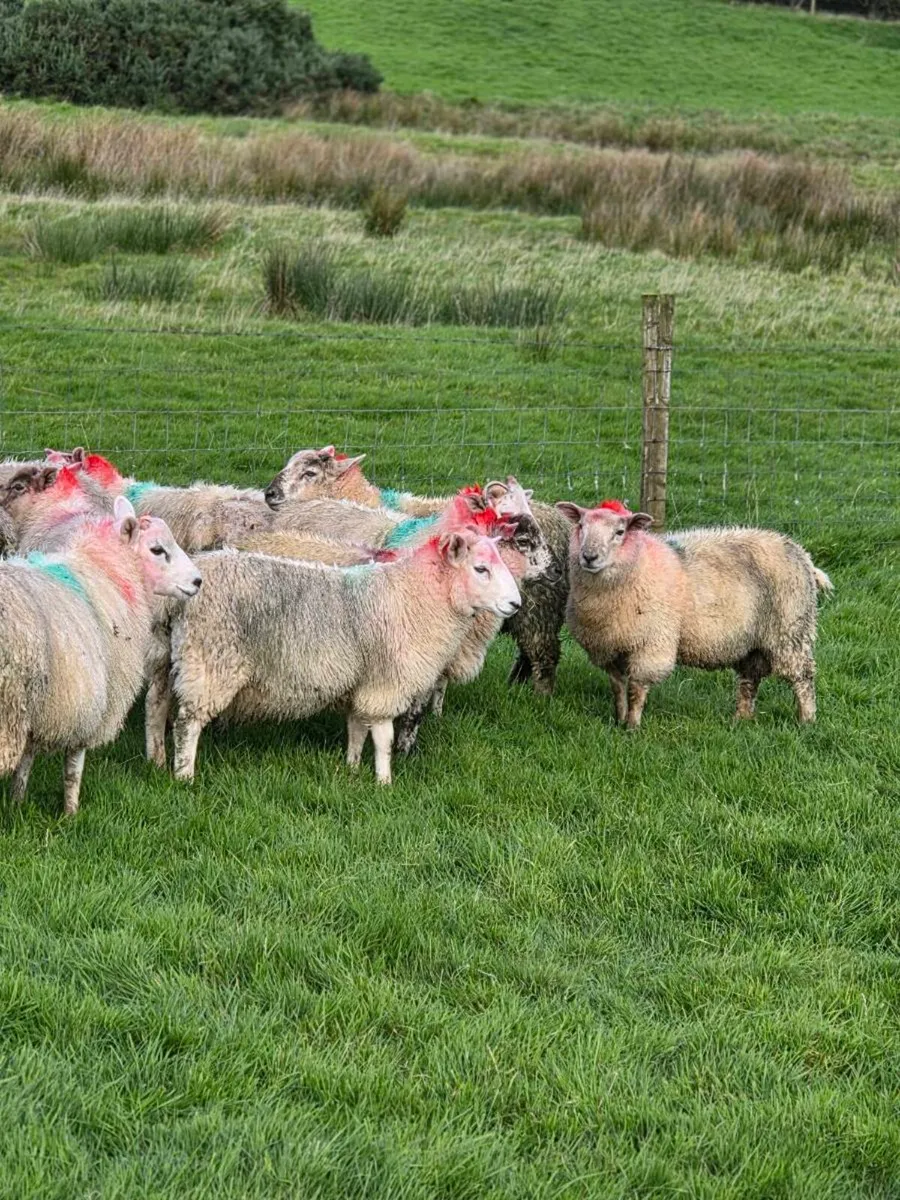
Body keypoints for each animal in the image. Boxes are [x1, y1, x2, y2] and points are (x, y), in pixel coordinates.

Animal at [0, 498, 201, 814]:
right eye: (157, 549)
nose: (197, 581)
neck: (107, 569)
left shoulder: (44, 702)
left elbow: (26, 758)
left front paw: (16, 802)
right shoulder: (87, 697)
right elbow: (73, 765)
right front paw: (70, 812)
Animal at [163, 530, 521, 786]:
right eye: (481, 568)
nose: (515, 604)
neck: (416, 596)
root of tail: (197, 575)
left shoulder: (361, 683)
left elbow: (357, 728)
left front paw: (351, 767)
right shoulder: (385, 683)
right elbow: (383, 738)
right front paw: (384, 781)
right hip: (211, 661)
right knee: (187, 724)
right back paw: (184, 777)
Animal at [266, 448, 571, 695]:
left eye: (309, 472)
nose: (269, 494)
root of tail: (562, 522)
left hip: (539, 611)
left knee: (544, 655)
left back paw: (540, 698)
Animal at [557, 499, 833, 728]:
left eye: (619, 532)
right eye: (581, 526)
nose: (589, 557)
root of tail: (803, 555)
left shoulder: (651, 645)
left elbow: (636, 689)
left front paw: (632, 726)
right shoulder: (608, 648)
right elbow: (618, 689)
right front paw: (619, 719)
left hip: (790, 630)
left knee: (803, 677)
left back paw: (807, 720)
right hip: (752, 641)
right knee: (749, 679)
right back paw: (741, 719)